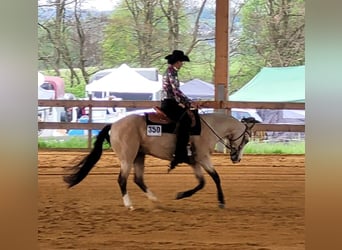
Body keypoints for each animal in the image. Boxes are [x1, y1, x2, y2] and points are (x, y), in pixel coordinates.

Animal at [63, 110, 260, 210]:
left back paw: (155, 199)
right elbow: (216, 177)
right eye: (246, 140)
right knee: (122, 179)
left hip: (139, 155)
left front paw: (181, 195)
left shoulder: (195, 161)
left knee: (138, 179)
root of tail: (114, 124)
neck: (207, 128)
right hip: (127, 156)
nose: (237, 158)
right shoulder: (203, 158)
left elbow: (202, 182)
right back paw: (129, 204)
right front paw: (221, 201)